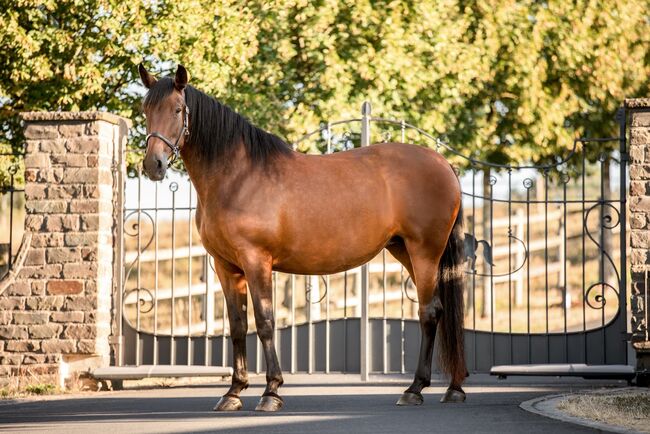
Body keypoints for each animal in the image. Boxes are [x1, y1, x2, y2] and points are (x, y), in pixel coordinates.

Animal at [138, 64, 467, 412]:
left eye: (177, 110)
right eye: (146, 110)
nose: (153, 164)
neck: (237, 177)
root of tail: (444, 163)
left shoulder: (257, 262)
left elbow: (265, 322)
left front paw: (271, 392)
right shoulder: (226, 267)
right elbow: (238, 326)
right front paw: (233, 393)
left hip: (425, 252)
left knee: (429, 312)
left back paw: (415, 388)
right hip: (405, 252)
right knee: (440, 310)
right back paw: (453, 388)